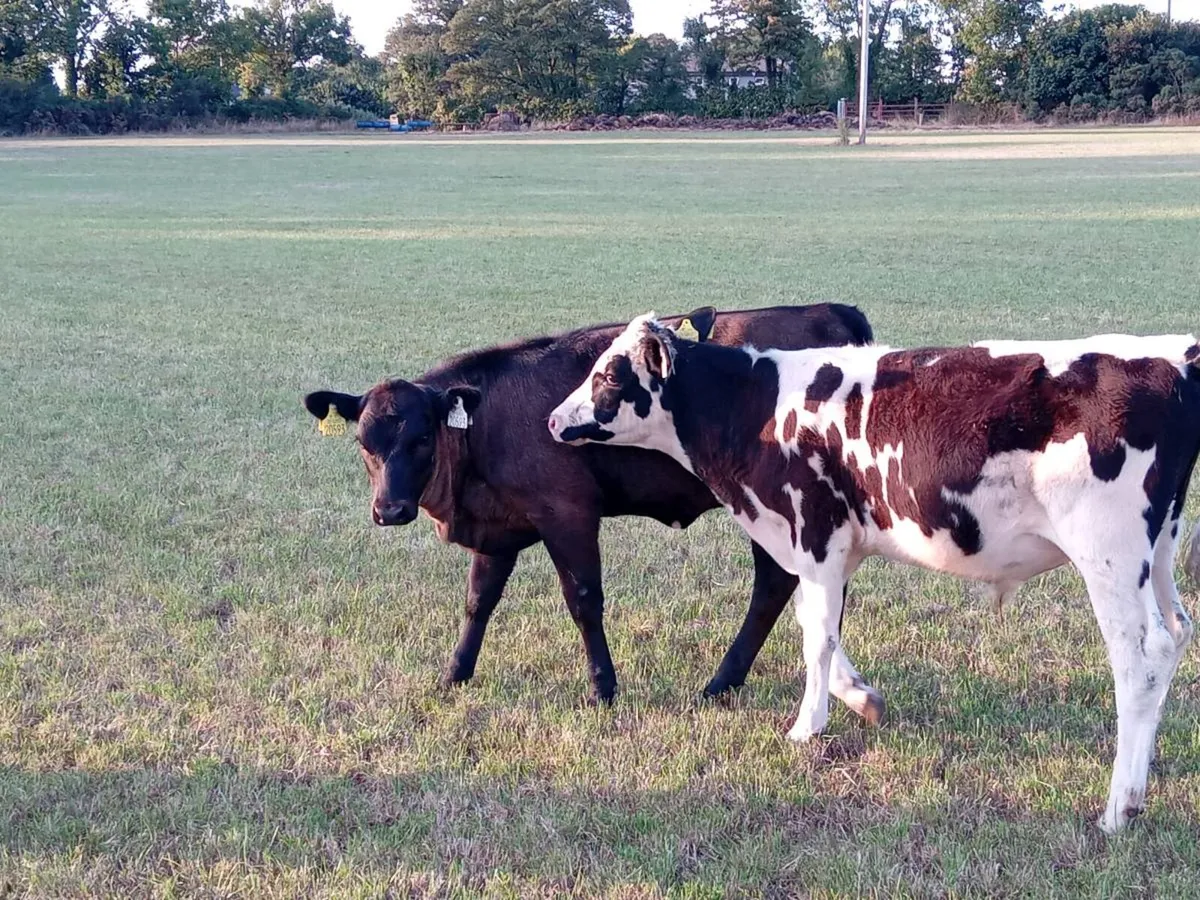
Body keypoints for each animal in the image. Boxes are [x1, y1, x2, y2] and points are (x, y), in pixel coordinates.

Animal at [302, 304, 874, 705]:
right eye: (364, 443)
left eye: (422, 437)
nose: (390, 510)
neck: (488, 419)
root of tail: (829, 310)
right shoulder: (498, 528)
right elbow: (478, 601)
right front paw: (455, 674)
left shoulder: (568, 514)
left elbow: (583, 600)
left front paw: (603, 686)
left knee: (776, 583)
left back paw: (724, 682)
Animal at [548, 314, 1200, 832]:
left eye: (609, 374)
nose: (553, 420)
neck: (757, 404)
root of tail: (1174, 356)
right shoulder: (830, 546)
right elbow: (817, 625)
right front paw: (862, 699)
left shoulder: (815, 530)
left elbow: (816, 638)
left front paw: (807, 728)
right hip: (1158, 552)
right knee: (1176, 633)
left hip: (1109, 555)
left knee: (1141, 658)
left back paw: (1119, 807)